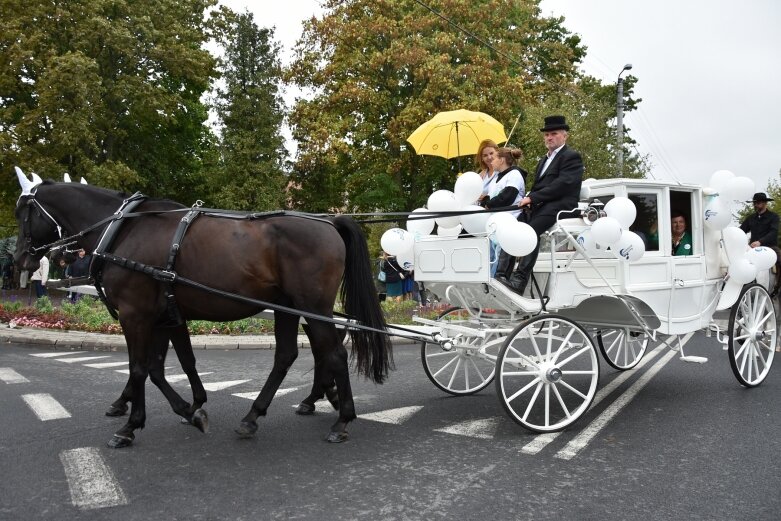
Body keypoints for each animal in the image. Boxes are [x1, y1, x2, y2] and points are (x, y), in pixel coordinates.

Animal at [16, 177, 396, 444]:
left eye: (24, 215)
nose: (22, 258)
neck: (123, 228)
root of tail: (329, 222)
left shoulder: (135, 314)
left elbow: (140, 368)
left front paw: (131, 425)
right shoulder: (164, 316)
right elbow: (164, 366)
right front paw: (190, 408)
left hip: (312, 306)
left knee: (332, 353)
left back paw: (342, 418)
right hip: (289, 307)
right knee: (290, 355)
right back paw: (256, 415)